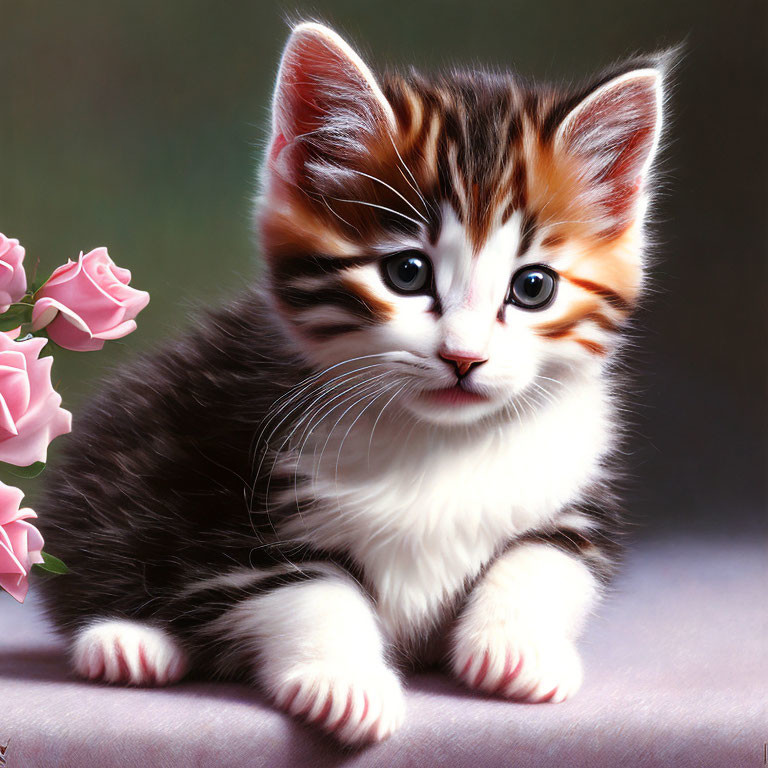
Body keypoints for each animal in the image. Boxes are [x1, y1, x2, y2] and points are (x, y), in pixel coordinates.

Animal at [39, 22, 668, 744]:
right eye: (407, 273)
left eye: (532, 287)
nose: (464, 357)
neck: (438, 442)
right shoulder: (233, 495)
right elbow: (310, 591)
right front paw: (346, 683)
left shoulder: (578, 497)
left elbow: (547, 557)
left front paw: (517, 648)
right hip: (119, 458)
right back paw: (127, 643)